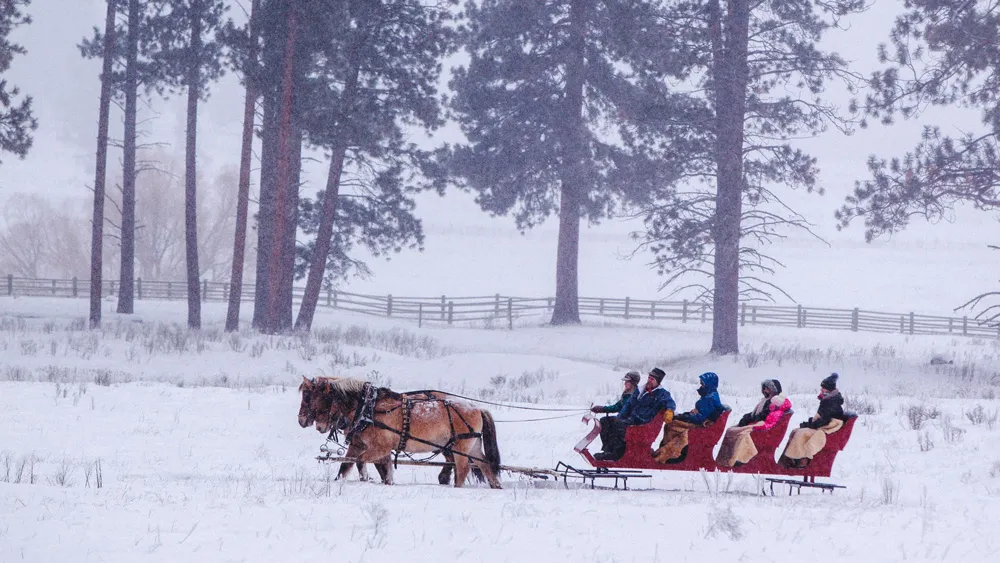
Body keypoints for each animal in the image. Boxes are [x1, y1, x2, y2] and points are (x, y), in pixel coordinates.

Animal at [296, 376, 500, 486]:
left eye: (308, 396)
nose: (302, 421)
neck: (367, 408)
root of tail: (476, 408)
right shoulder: (361, 444)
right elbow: (350, 465)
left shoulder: (379, 448)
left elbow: (361, 461)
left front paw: (368, 479)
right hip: (471, 446)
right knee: (484, 464)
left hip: (460, 447)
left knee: (462, 468)